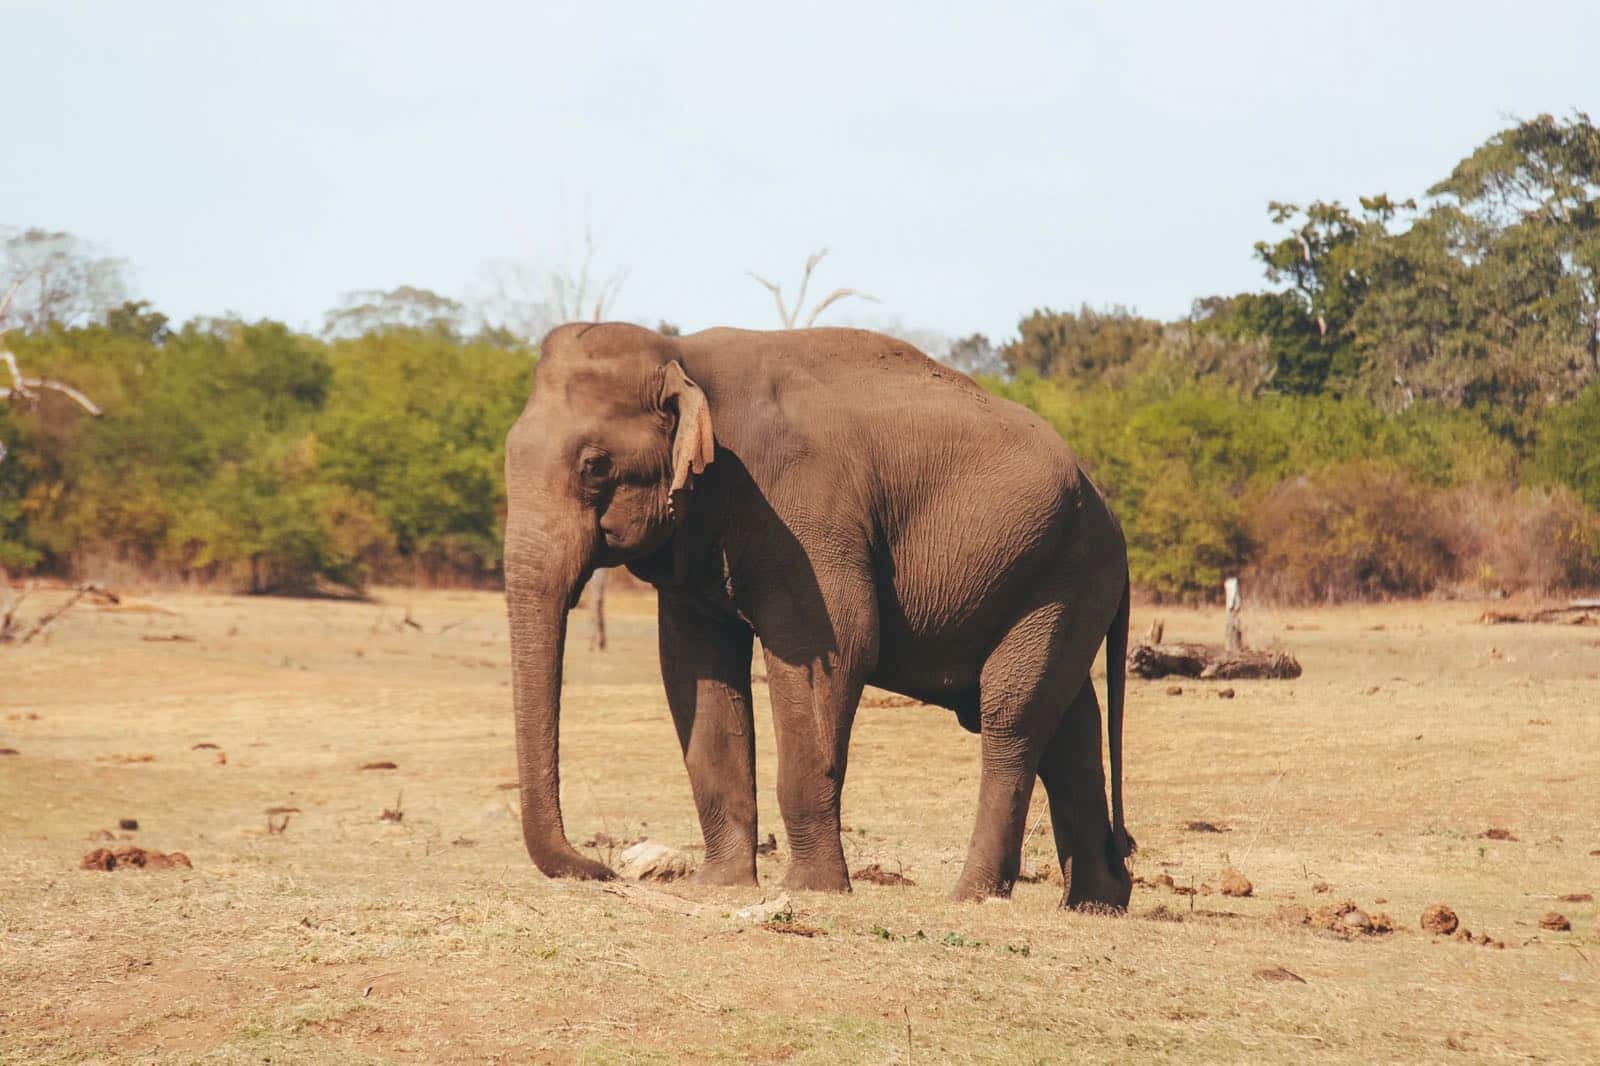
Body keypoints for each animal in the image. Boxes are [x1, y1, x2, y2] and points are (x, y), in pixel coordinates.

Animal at [505, 320, 1132, 902]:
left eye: (594, 465)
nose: (602, 868)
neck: (682, 355)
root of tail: (1108, 510)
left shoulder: (803, 515)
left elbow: (834, 649)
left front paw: (812, 889)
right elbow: (694, 673)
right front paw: (720, 886)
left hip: (1063, 571)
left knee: (1010, 713)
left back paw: (972, 896)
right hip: (1059, 579)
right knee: (1070, 719)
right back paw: (1096, 903)